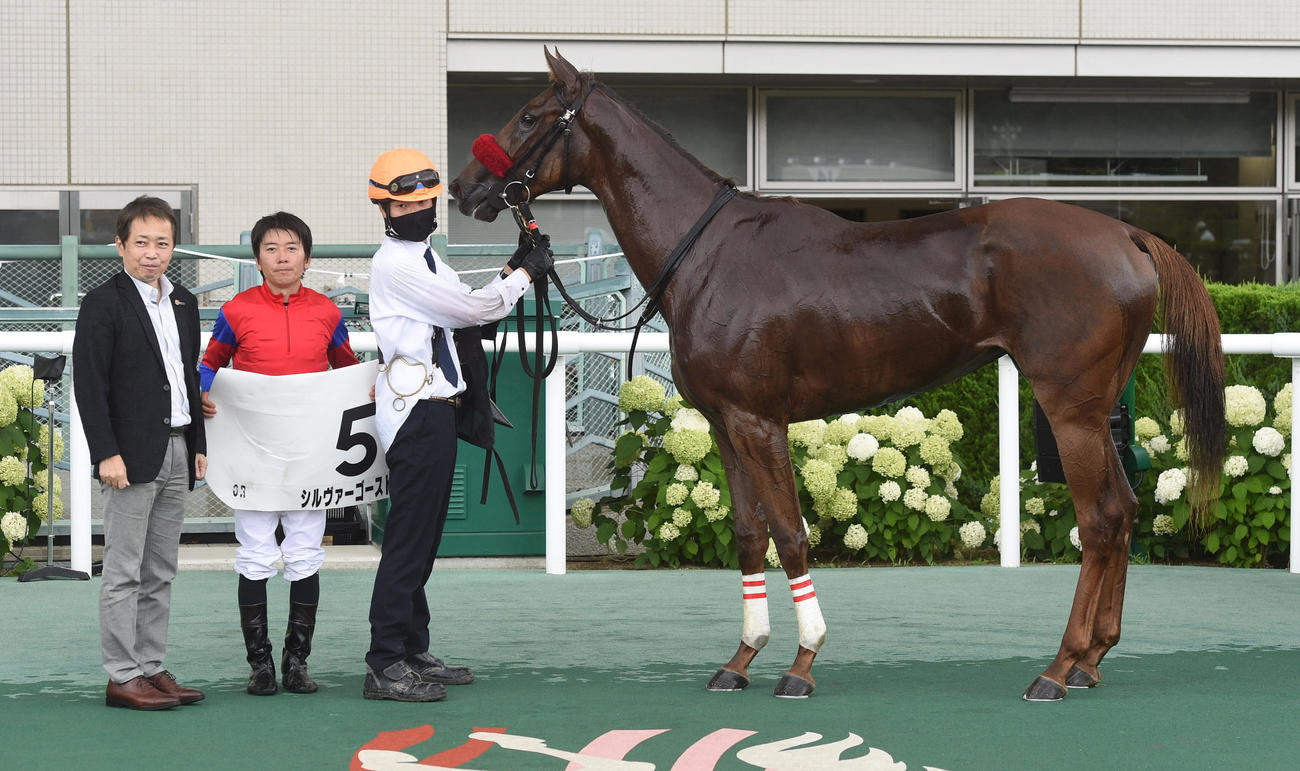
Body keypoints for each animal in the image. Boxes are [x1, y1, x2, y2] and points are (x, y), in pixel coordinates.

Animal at [451, 48, 1226, 701]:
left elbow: (791, 532)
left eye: (529, 115)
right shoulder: (725, 425)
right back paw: (1093, 658)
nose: (464, 188)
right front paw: (740, 659)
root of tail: (1127, 233)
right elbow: (749, 534)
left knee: (1100, 521)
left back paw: (1059, 668)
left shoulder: (759, 420)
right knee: (1125, 510)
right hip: (1094, 409)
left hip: (1070, 409)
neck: (707, 253)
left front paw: (801, 662)